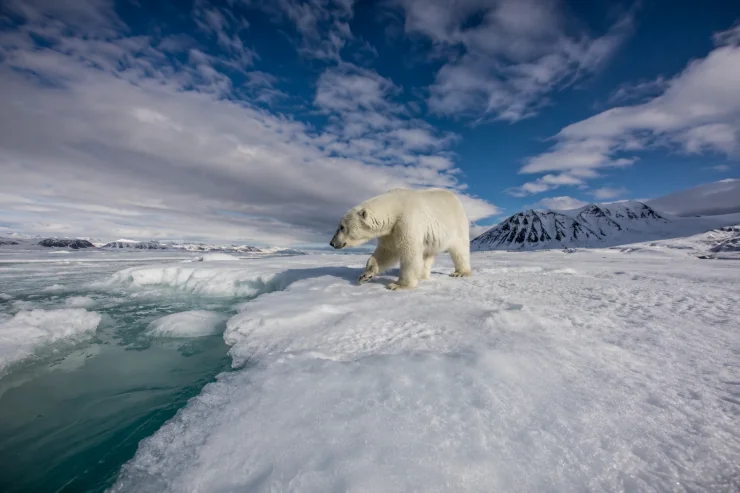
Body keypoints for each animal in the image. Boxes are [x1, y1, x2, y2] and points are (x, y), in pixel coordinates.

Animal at [329, 188, 472, 290]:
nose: (332, 243)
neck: (395, 208)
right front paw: (365, 275)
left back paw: (460, 272)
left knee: (460, 249)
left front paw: (398, 285)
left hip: (457, 225)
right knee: (427, 254)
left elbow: (410, 252)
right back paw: (422, 275)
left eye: (341, 227)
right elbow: (386, 251)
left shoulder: (407, 222)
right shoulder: (390, 232)